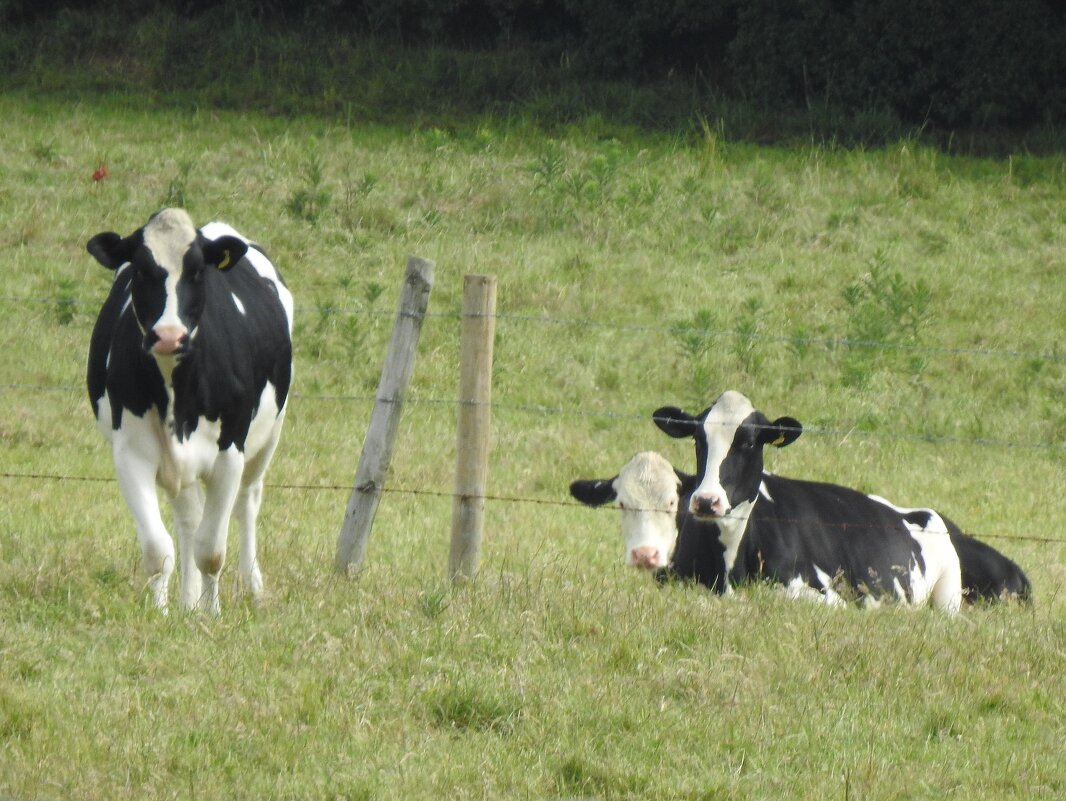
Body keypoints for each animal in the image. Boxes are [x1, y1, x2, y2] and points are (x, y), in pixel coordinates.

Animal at [85, 206, 294, 614]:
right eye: (140, 269)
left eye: (198, 271)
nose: (169, 336)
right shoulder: (131, 453)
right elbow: (158, 549)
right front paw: (162, 612)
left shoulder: (229, 452)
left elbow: (211, 551)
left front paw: (212, 614)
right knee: (188, 519)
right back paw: (187, 602)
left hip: (269, 435)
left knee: (248, 500)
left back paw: (251, 585)